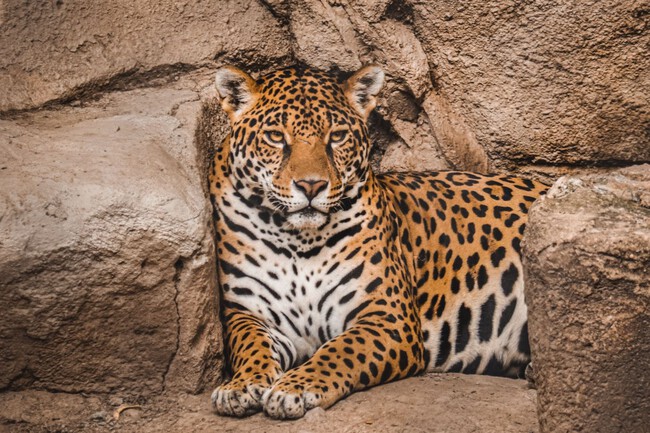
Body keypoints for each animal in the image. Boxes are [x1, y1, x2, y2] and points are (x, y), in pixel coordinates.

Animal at [208, 64, 548, 419]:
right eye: (275, 136)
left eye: (337, 137)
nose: (311, 186)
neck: (298, 239)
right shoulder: (246, 313)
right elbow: (251, 346)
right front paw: (240, 385)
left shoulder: (387, 316)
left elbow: (339, 351)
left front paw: (294, 388)